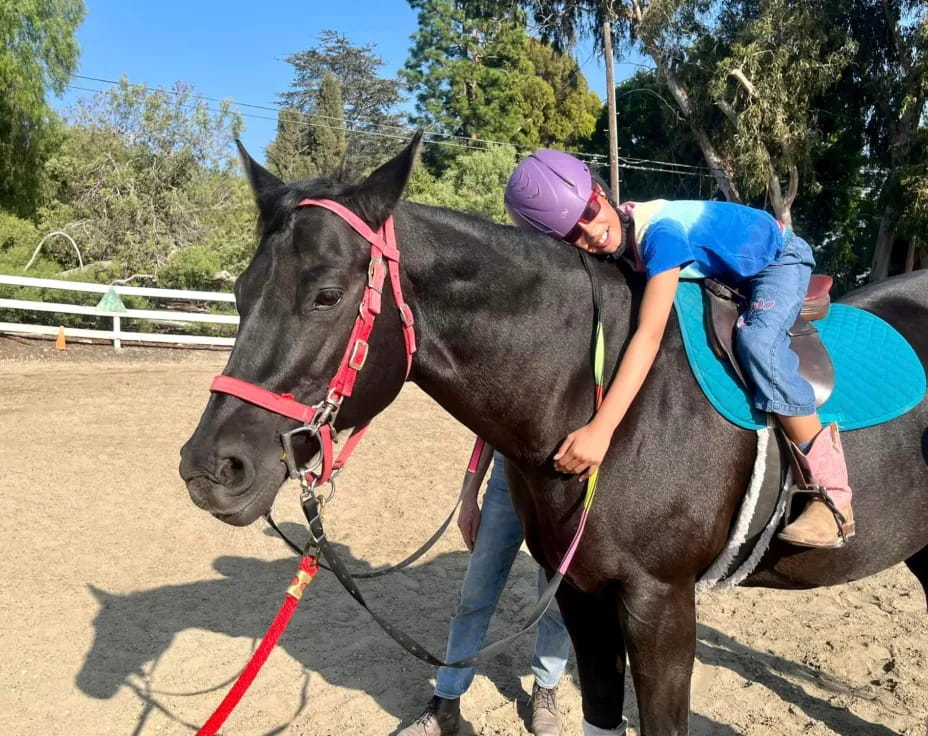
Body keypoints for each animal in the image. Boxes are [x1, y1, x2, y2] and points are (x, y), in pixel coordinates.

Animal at [179, 134, 928, 735]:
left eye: (327, 295)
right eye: (240, 293)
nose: (210, 468)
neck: (598, 400)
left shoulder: (661, 606)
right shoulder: (581, 595)